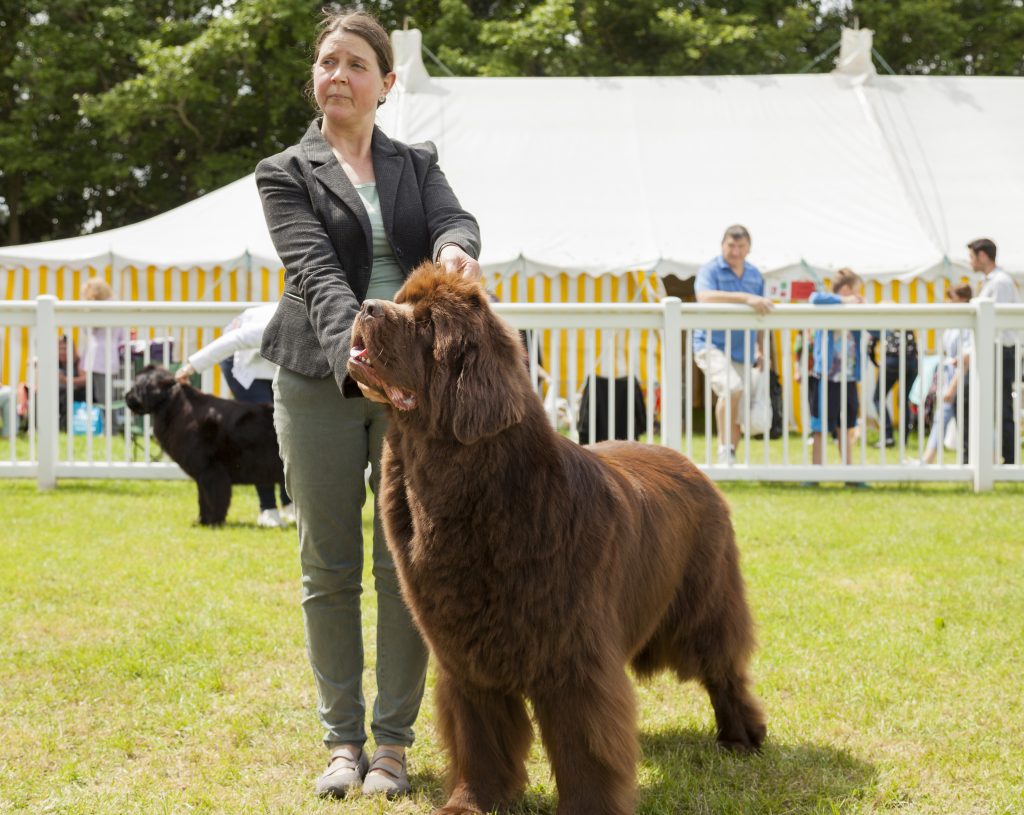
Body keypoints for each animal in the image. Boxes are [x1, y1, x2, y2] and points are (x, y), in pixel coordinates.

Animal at [128, 364, 288, 528]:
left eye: (136, 386)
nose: (126, 396)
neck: (172, 404)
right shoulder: (203, 474)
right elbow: (203, 498)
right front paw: (202, 521)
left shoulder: (210, 470)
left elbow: (211, 498)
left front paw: (211, 522)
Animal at [348, 264, 765, 810]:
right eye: (401, 300)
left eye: (426, 322)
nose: (366, 306)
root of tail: (688, 462)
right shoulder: (464, 655)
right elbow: (477, 735)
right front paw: (470, 803)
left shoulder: (572, 655)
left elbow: (583, 743)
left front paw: (588, 808)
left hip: (703, 604)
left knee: (724, 668)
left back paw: (742, 736)